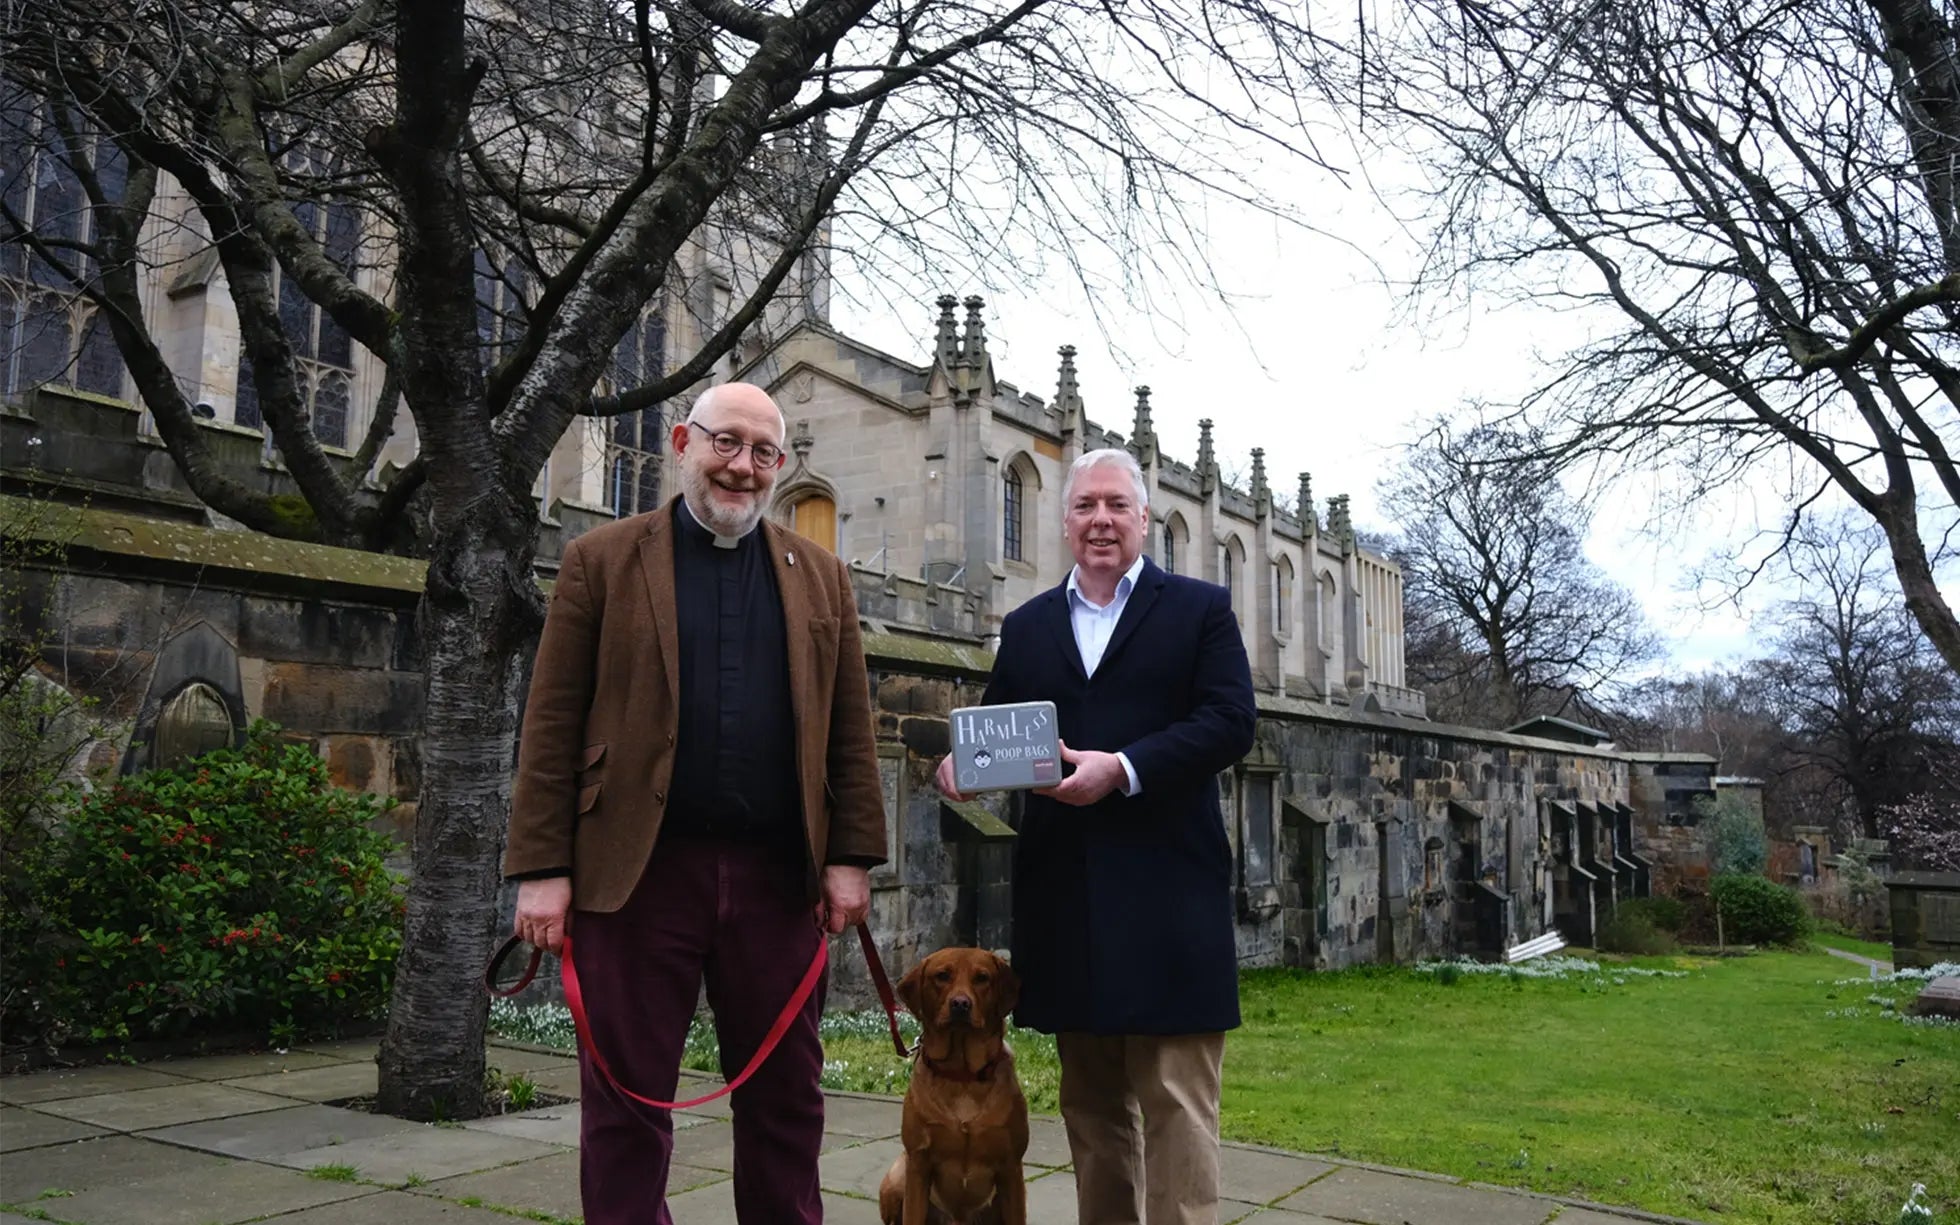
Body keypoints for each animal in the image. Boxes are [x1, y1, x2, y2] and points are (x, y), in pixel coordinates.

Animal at [882, 944, 1034, 1223]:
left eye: (982, 978)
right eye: (942, 976)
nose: (961, 1004)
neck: (962, 1076)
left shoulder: (1011, 1167)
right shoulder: (918, 1163)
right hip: (895, 1179)